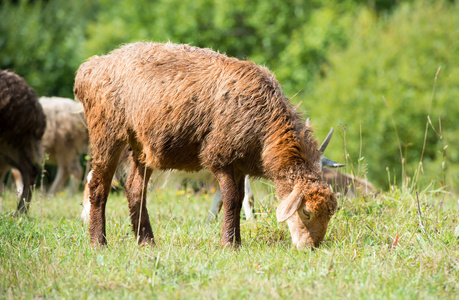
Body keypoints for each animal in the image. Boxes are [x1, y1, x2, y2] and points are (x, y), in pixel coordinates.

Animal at [74, 41, 338, 248]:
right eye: (306, 212)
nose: (310, 247)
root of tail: (90, 68)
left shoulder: (239, 164)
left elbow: (239, 200)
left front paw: (236, 241)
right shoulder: (220, 157)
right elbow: (231, 200)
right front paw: (228, 245)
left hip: (141, 145)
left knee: (134, 190)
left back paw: (146, 241)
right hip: (107, 131)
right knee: (97, 185)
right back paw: (98, 242)